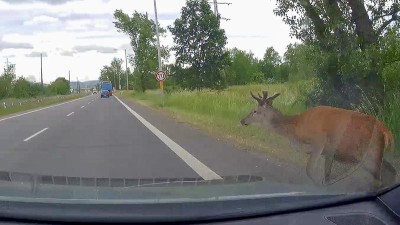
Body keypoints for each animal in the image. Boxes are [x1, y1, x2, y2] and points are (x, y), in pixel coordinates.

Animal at [241, 90, 396, 189]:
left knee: (380, 177)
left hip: (370, 153)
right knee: (389, 172)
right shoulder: (329, 152)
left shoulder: (319, 141)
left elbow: (309, 170)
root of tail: (386, 131)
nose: (242, 120)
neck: (296, 129)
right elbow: (327, 175)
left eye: (255, 111)